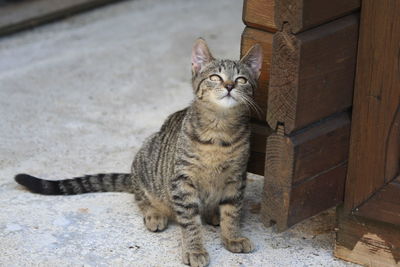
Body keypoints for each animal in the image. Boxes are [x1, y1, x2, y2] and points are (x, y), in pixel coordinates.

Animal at [14, 38, 262, 267]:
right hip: (146, 162)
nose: (229, 86)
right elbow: (190, 222)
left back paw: (212, 213)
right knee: (141, 196)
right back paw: (154, 213)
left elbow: (232, 212)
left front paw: (232, 237)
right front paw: (194, 249)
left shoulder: (237, 177)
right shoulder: (181, 180)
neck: (220, 131)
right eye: (215, 77)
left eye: (241, 80)